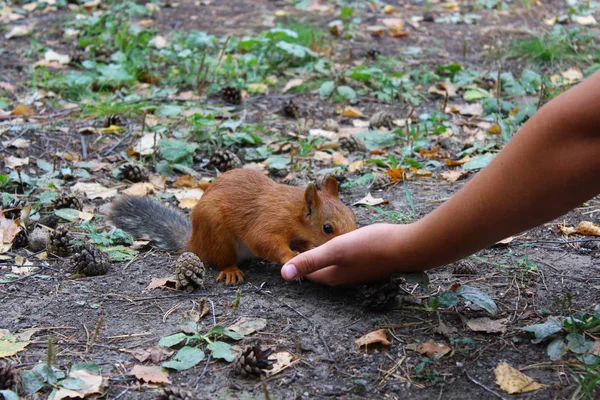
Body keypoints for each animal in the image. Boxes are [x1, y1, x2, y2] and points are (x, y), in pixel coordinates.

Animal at [108, 169, 356, 284]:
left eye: (353, 217)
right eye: (327, 228)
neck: (293, 213)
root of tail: (194, 244)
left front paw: (305, 249)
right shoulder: (270, 220)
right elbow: (263, 240)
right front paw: (289, 256)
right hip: (217, 234)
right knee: (223, 259)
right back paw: (231, 271)